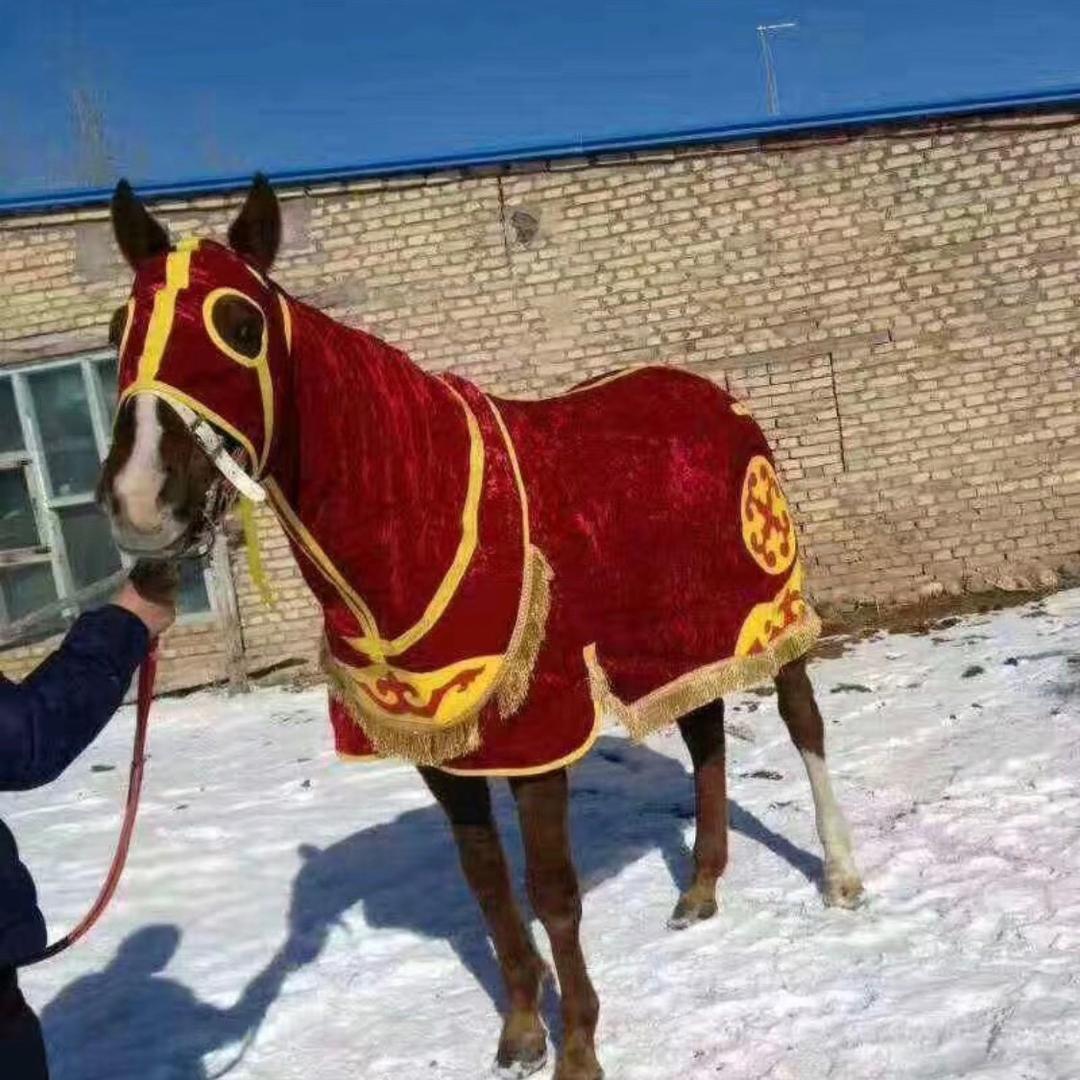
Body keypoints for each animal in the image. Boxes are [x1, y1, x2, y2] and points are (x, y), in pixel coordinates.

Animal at [97, 175, 863, 1080]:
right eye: (118, 329)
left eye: (240, 327)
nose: (141, 503)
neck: (417, 515)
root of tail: (713, 395)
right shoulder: (442, 749)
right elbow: (489, 887)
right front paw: (523, 1033)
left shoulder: (539, 729)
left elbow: (551, 890)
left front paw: (578, 1049)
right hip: (676, 634)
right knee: (705, 733)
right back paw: (700, 889)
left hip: (765, 609)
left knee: (802, 721)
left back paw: (841, 876)